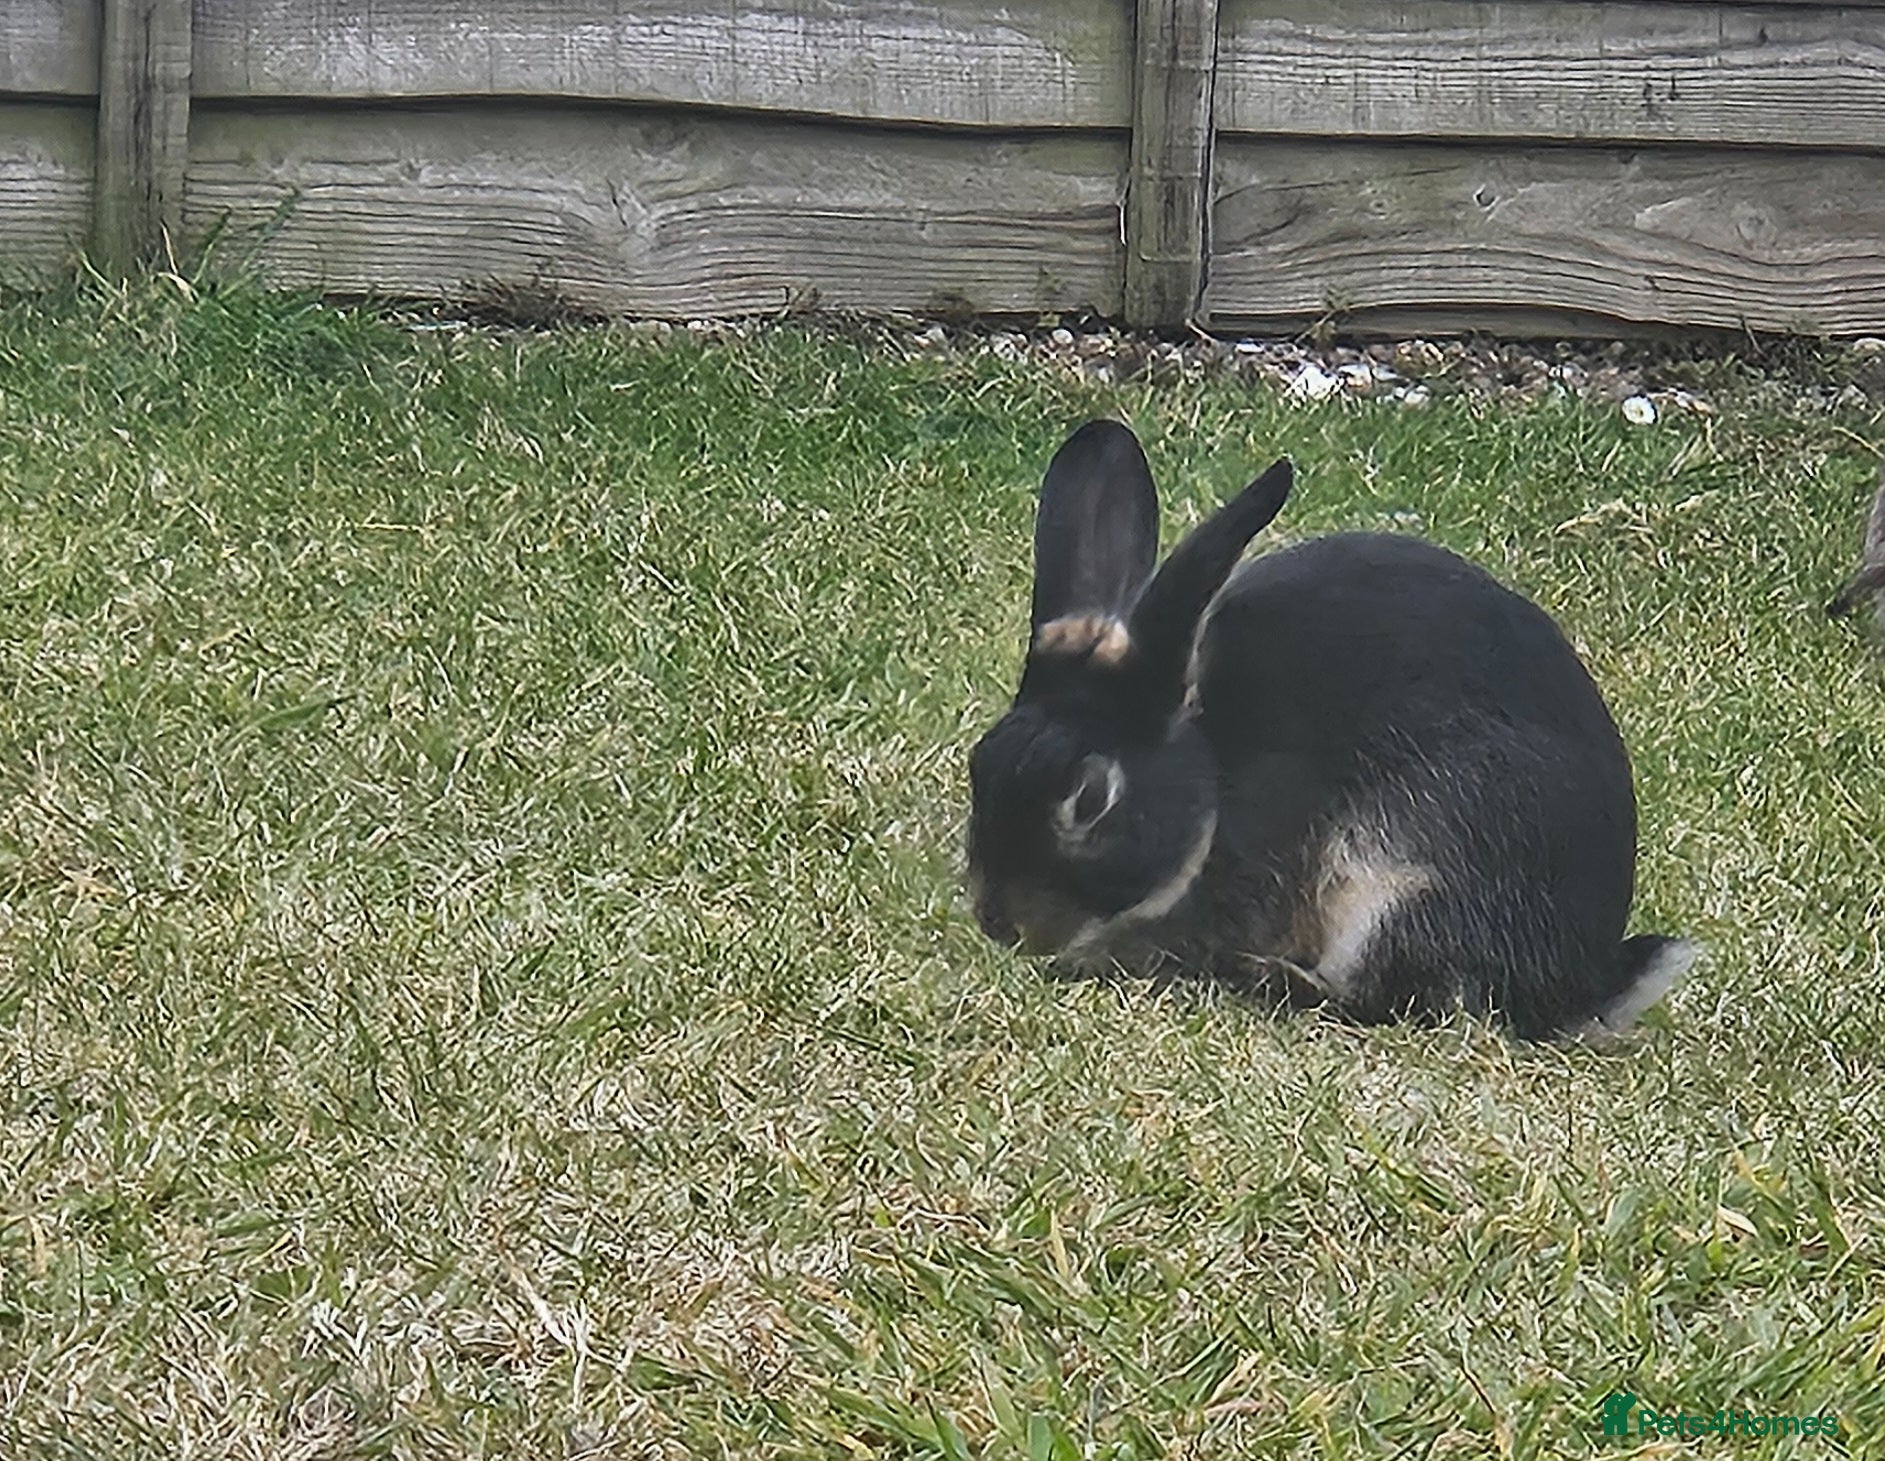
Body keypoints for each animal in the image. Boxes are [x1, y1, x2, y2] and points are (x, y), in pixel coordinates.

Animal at [966, 419, 1694, 1042]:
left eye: (1090, 798)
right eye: (981, 761)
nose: (998, 921)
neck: (1211, 774)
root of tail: (1579, 984)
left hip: (1400, 877)